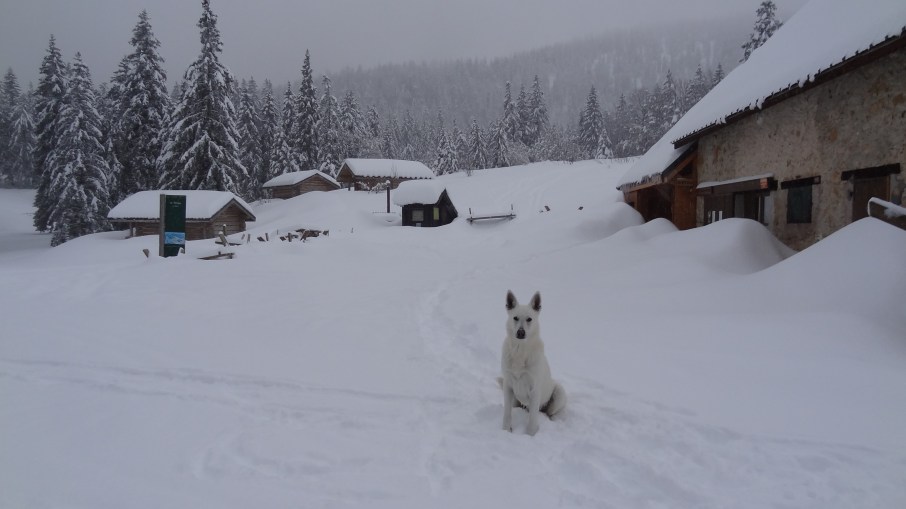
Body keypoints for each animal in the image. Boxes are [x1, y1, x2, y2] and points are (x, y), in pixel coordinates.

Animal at [499, 290, 567, 435]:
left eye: (529, 319)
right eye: (515, 318)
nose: (520, 332)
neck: (520, 351)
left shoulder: (534, 389)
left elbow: (532, 419)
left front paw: (529, 435)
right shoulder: (508, 385)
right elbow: (507, 413)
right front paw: (506, 430)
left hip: (559, 393)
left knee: (547, 412)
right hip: (515, 400)